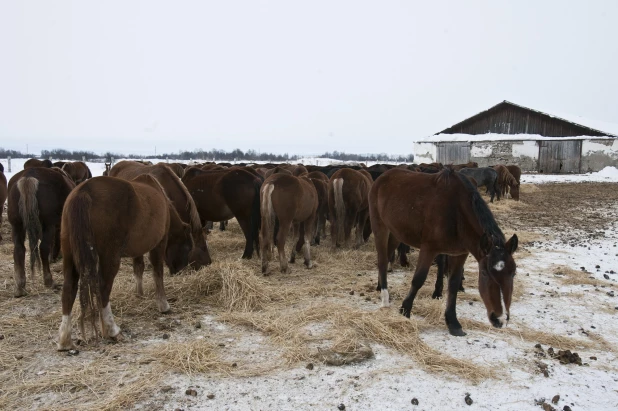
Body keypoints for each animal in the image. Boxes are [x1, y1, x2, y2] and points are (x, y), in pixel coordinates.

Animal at [6, 169, 75, 298]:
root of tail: (28, 176)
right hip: (48, 224)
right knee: (43, 248)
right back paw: (49, 281)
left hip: (17, 225)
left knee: (19, 250)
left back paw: (20, 287)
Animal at [58, 175, 194, 350]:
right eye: (188, 247)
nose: (181, 270)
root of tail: (84, 192)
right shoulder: (159, 244)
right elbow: (157, 272)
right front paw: (163, 305)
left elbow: (138, 268)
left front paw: (139, 293)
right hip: (110, 258)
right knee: (103, 289)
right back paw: (112, 330)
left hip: (69, 256)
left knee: (68, 290)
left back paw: (65, 340)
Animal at [368, 169, 516, 336]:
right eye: (484, 273)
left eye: (513, 274)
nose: (500, 319)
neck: (457, 213)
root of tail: (382, 177)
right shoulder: (429, 249)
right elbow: (418, 279)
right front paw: (405, 310)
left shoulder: (460, 254)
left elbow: (453, 284)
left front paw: (453, 322)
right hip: (380, 227)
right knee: (382, 260)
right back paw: (384, 298)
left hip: (396, 233)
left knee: (387, 256)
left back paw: (379, 285)